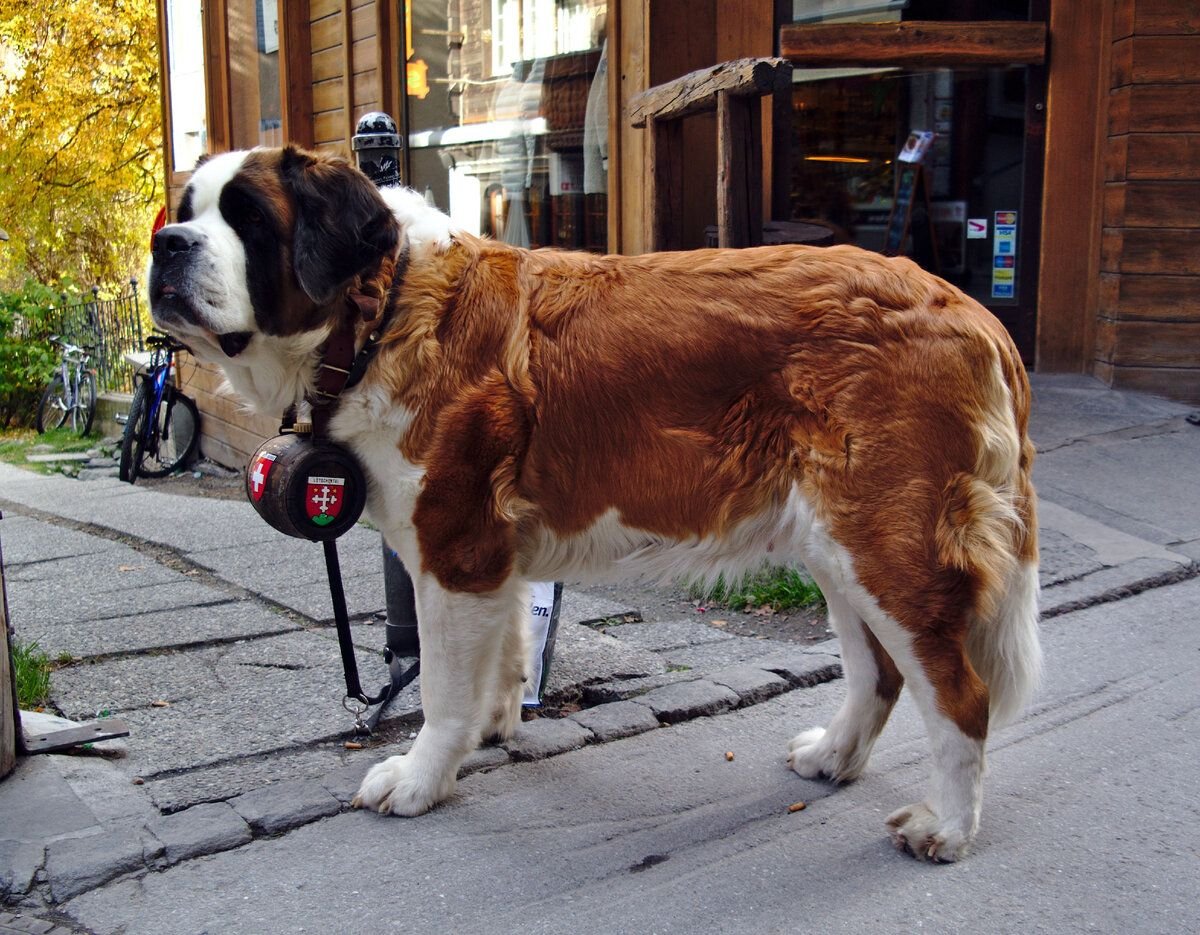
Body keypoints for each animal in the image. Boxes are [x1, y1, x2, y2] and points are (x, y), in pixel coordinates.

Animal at [150, 144, 1036, 864]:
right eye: (186, 210)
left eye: (248, 218)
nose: (165, 244)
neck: (383, 309)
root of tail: (968, 307)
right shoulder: (491, 556)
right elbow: (503, 652)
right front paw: (495, 725)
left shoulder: (455, 547)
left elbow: (440, 687)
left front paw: (421, 776)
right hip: (840, 545)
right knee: (878, 671)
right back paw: (834, 757)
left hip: (885, 545)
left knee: (959, 694)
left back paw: (946, 828)